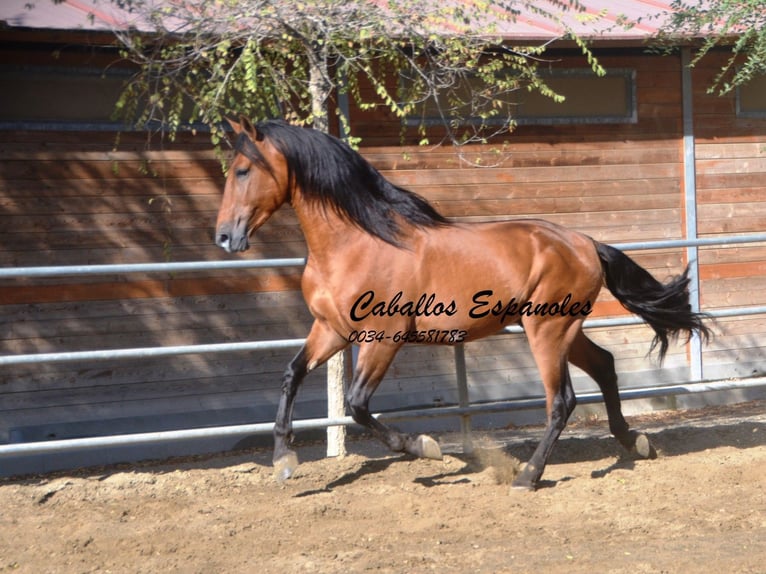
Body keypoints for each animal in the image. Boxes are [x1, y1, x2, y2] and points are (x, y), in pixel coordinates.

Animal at [213, 118, 712, 490]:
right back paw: (634, 442)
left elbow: (356, 404)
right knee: (605, 366)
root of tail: (586, 243)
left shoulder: (382, 338)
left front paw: (423, 446)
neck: (357, 242)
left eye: (243, 171)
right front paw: (284, 459)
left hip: (547, 331)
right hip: (561, 330)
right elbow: (292, 375)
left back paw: (528, 477)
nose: (224, 236)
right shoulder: (331, 330)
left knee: (562, 401)